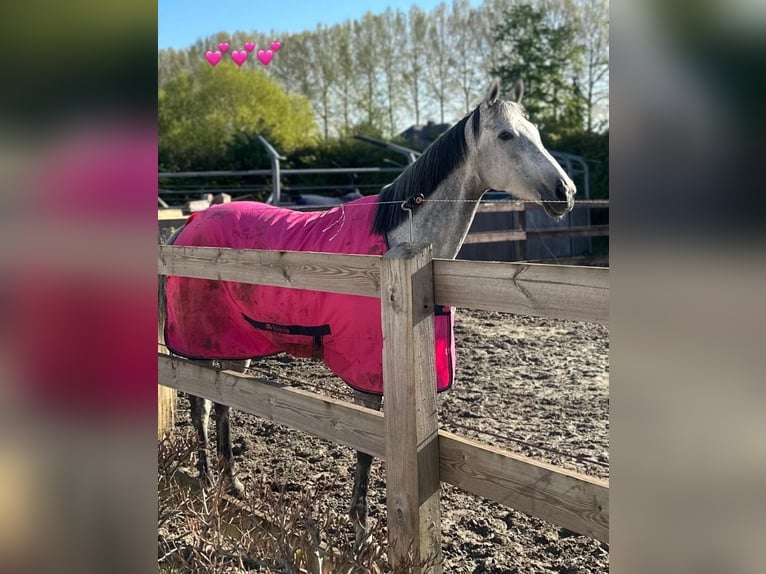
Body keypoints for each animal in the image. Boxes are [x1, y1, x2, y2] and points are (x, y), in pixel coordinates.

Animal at [158, 79, 576, 548]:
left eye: (536, 132)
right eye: (505, 135)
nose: (566, 193)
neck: (400, 242)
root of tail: (185, 227)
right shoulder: (369, 377)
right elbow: (365, 447)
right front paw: (360, 531)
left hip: (235, 343)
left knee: (223, 403)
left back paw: (233, 483)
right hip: (196, 342)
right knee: (199, 403)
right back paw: (206, 478)